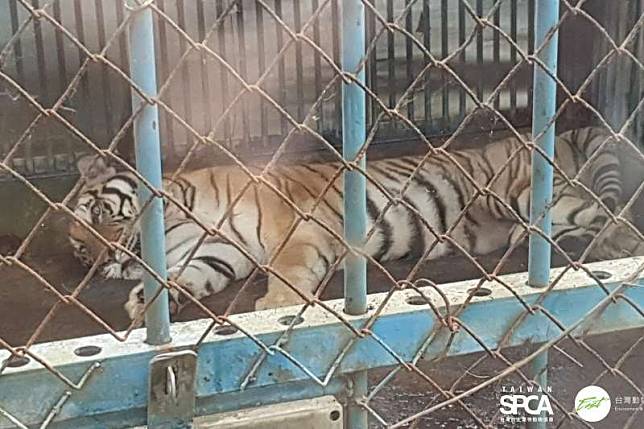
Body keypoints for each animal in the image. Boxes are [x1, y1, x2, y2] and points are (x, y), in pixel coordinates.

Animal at [68, 125, 640, 320]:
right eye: (78, 252)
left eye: (97, 213)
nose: (99, 260)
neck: (176, 224)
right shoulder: (219, 254)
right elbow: (189, 276)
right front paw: (147, 303)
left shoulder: (292, 231)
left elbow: (287, 272)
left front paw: (274, 307)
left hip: (536, 199)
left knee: (613, 213)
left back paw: (618, 244)